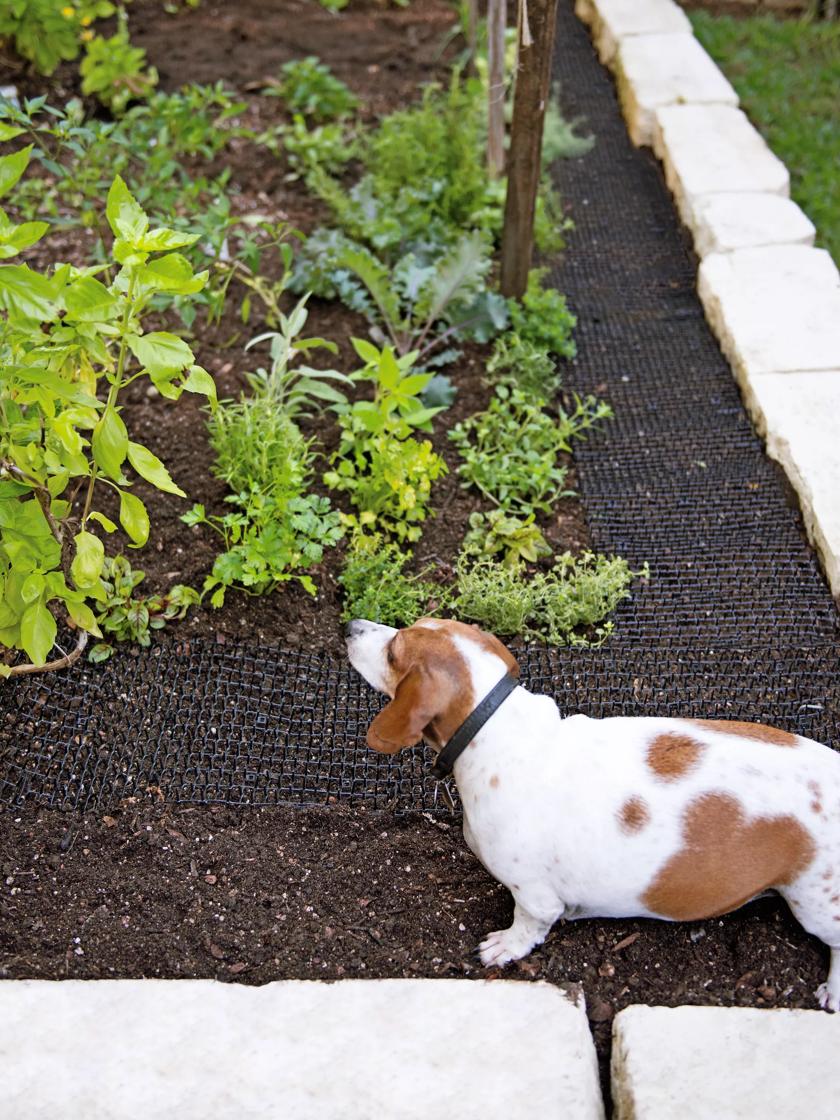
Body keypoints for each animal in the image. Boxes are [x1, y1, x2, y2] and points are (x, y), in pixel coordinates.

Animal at [344, 618, 840, 1012]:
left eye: (394, 651)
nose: (350, 625)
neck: (496, 727)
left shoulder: (535, 897)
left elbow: (528, 926)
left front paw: (505, 947)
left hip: (817, 906)